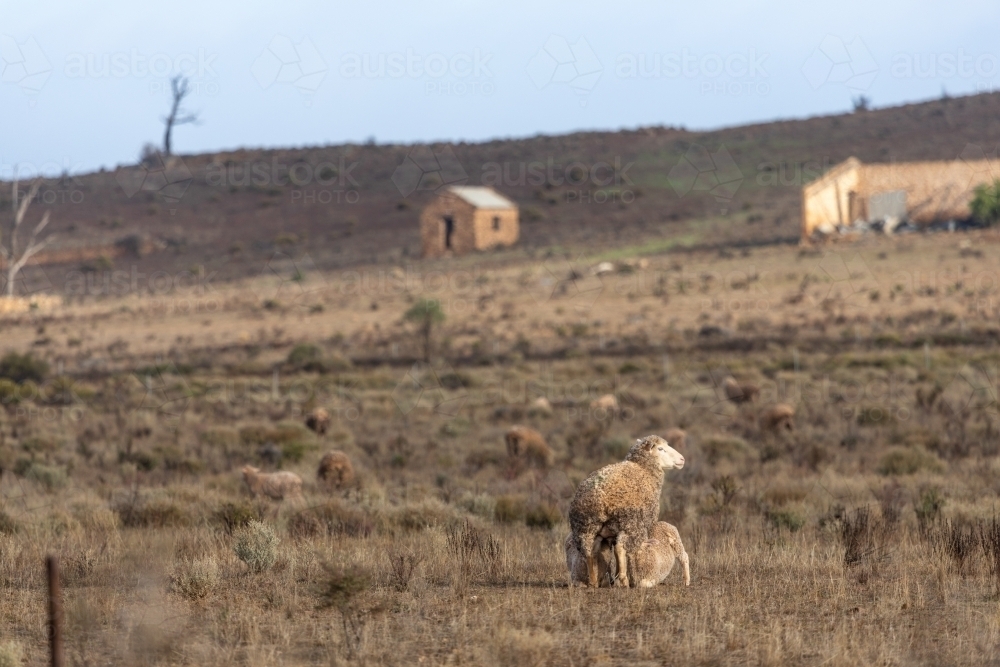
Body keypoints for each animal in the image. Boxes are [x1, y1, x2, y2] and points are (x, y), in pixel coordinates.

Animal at [568, 434, 685, 588]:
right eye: (661, 449)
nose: (682, 459)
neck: (644, 468)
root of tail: (597, 496)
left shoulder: (611, 532)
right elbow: (622, 551)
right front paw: (621, 577)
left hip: (585, 527)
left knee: (589, 551)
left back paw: (594, 581)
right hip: (628, 522)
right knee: (619, 547)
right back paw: (623, 581)